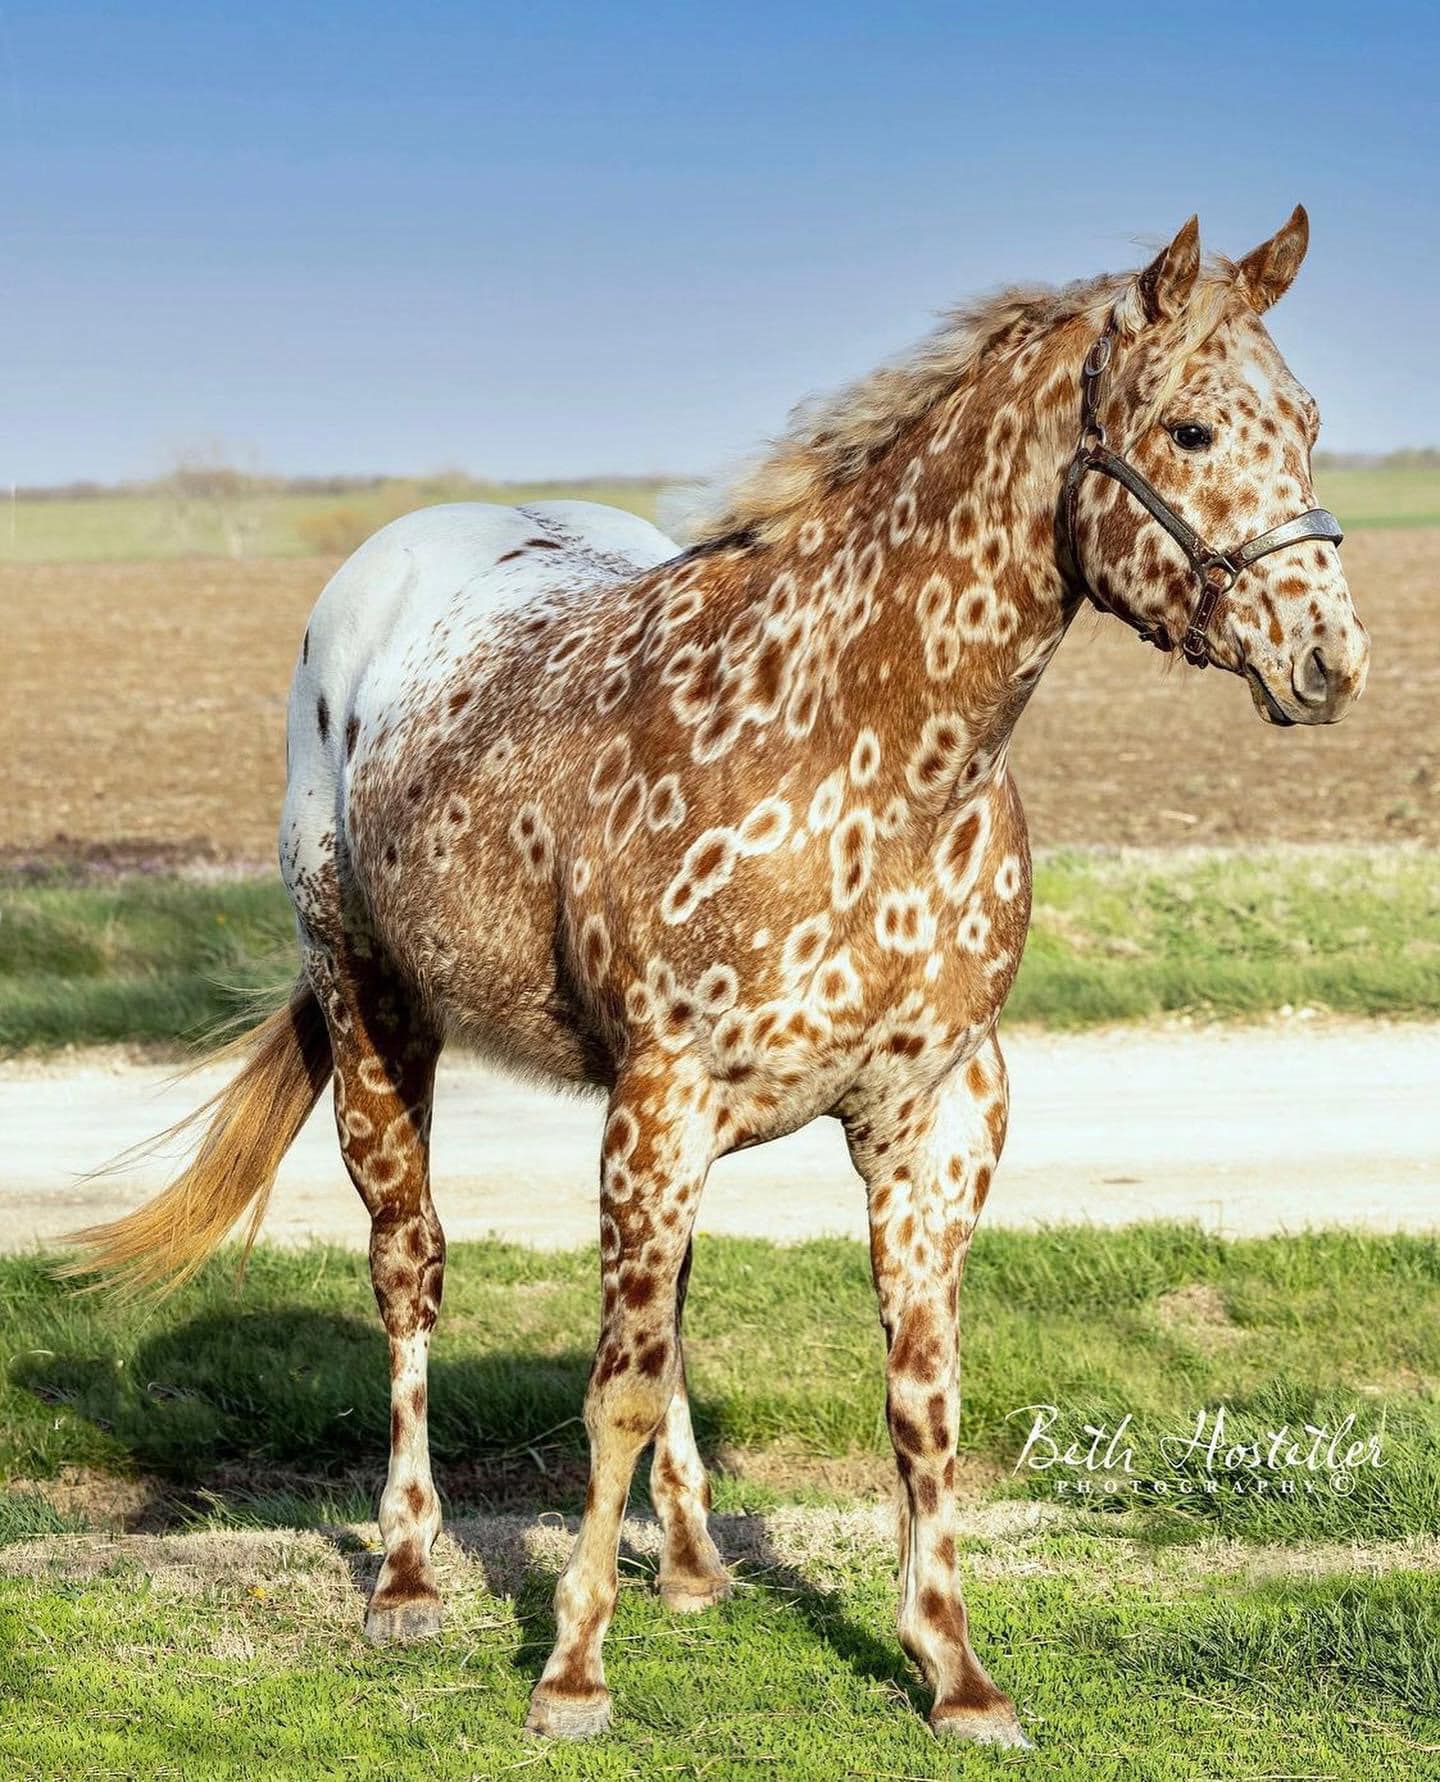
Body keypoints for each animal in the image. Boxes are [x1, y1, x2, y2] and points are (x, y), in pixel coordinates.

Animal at [70, 204, 1375, 1739]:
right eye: (1188, 428)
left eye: (1309, 423)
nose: (1328, 659)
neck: (859, 746)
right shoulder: (665, 1095)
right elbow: (615, 1395)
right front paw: (572, 1672)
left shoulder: (931, 1117)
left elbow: (915, 1397)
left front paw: (952, 1668)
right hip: (379, 1015)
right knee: (411, 1275)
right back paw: (406, 1575)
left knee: (665, 1309)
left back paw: (691, 1558)